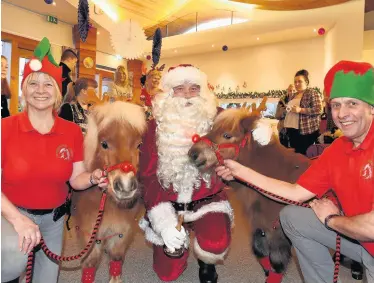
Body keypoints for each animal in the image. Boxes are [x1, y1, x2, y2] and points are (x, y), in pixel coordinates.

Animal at [71, 101, 147, 282]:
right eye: (104, 144)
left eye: (139, 145)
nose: (125, 186)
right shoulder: (89, 234)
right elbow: (90, 262)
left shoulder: (123, 231)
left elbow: (116, 257)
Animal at [188, 108, 312, 282]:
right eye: (211, 129)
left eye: (227, 135)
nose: (193, 153)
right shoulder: (260, 224)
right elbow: (259, 249)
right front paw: (266, 270)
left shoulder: (277, 231)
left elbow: (277, 261)